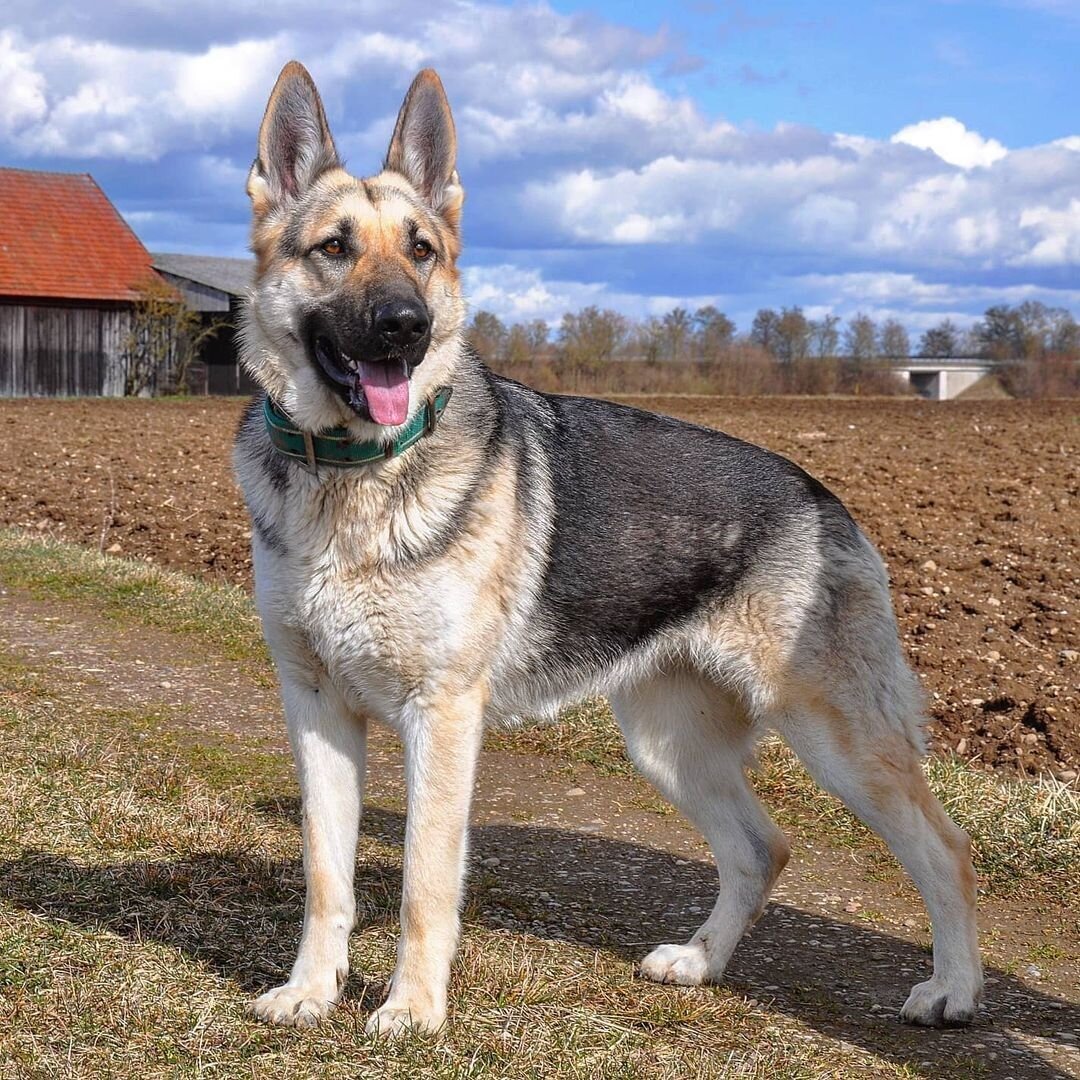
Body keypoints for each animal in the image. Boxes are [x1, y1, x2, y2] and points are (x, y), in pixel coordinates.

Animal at [234, 61, 980, 1036]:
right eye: (333, 247)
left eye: (423, 250)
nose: (406, 325)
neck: (355, 477)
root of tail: (828, 501)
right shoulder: (316, 707)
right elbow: (327, 873)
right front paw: (312, 991)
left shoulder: (442, 715)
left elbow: (424, 879)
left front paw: (415, 1010)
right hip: (667, 744)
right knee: (763, 848)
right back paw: (700, 961)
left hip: (838, 739)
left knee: (945, 848)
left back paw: (953, 988)